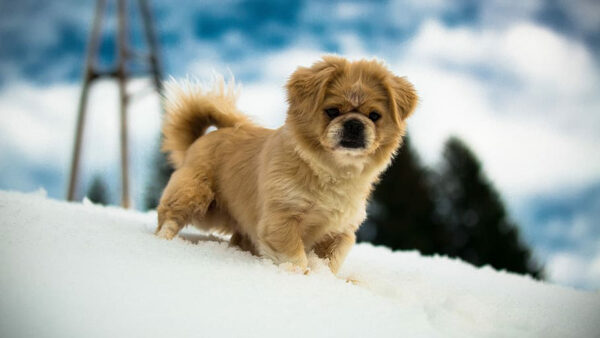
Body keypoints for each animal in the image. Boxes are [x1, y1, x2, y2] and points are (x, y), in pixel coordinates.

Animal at [155, 54, 418, 274]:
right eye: (332, 111)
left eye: (374, 116)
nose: (354, 123)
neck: (332, 171)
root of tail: (200, 140)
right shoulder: (281, 218)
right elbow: (293, 255)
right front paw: (298, 276)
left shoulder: (339, 232)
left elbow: (329, 261)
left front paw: (323, 278)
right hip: (196, 196)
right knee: (169, 218)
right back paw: (164, 241)